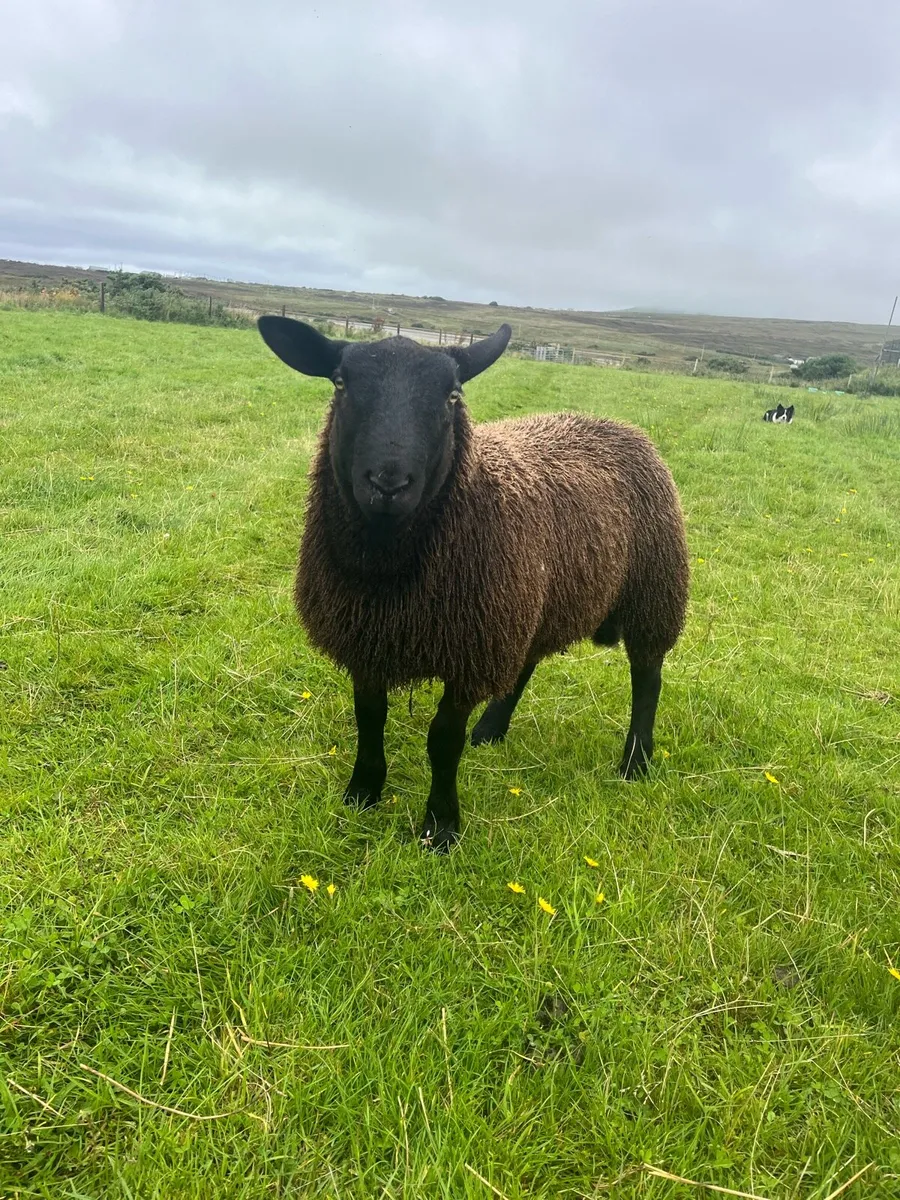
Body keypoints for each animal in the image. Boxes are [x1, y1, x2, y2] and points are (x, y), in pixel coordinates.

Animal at [257, 316, 689, 851]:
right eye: (340, 383)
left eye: (452, 394)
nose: (388, 482)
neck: (390, 577)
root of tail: (616, 424)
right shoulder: (367, 638)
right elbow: (369, 719)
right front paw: (362, 792)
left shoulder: (468, 649)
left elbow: (443, 741)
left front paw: (440, 827)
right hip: (528, 603)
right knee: (525, 664)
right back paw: (492, 728)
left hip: (654, 589)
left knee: (647, 676)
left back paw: (636, 761)